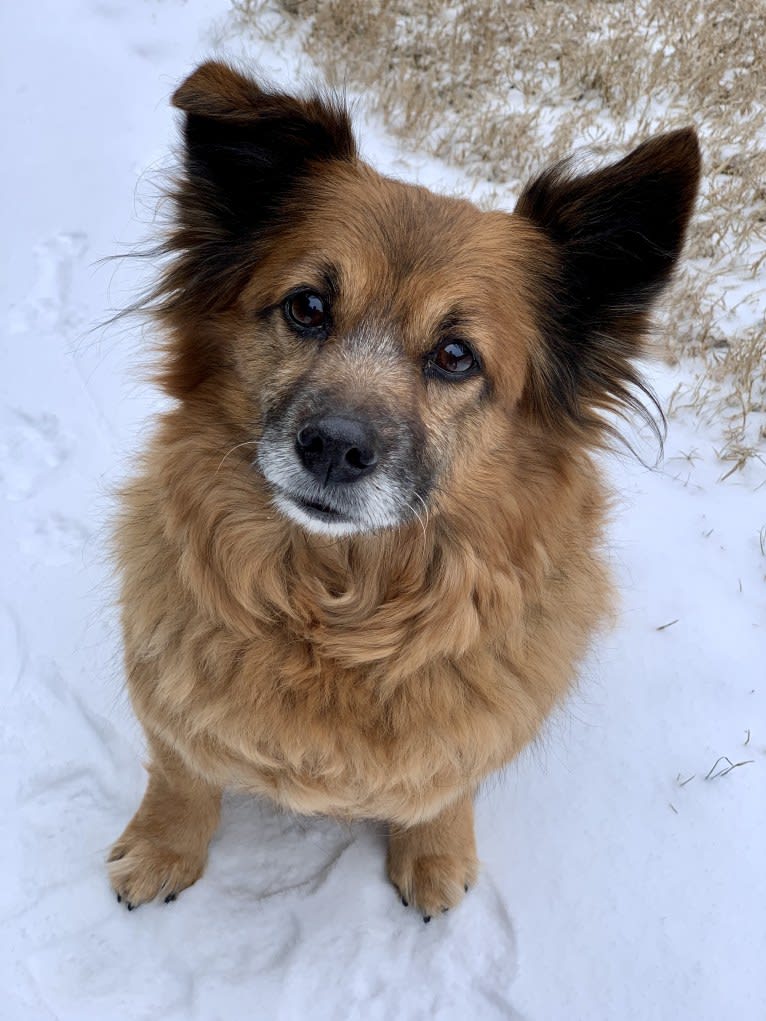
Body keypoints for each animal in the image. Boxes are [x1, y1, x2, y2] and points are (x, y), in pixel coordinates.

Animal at [108, 59, 702, 922]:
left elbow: (447, 782)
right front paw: (162, 847)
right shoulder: (168, 694)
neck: (337, 609)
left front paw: (435, 850)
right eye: (307, 307)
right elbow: (183, 771)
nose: (332, 447)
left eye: (455, 355)